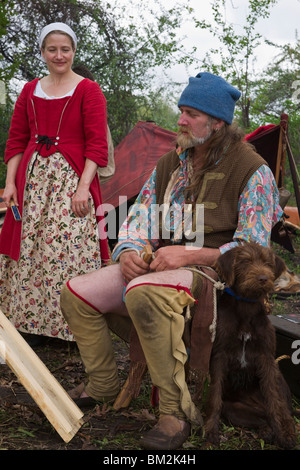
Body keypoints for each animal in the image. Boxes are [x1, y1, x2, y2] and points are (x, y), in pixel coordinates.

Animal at [205, 242, 296, 448]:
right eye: (245, 262)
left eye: (268, 263)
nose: (263, 278)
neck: (246, 307)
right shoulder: (219, 355)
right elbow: (215, 397)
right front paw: (211, 430)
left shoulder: (267, 358)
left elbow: (273, 400)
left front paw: (282, 434)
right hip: (234, 409)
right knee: (262, 418)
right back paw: (267, 431)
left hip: (279, 378)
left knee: (284, 411)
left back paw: (285, 431)